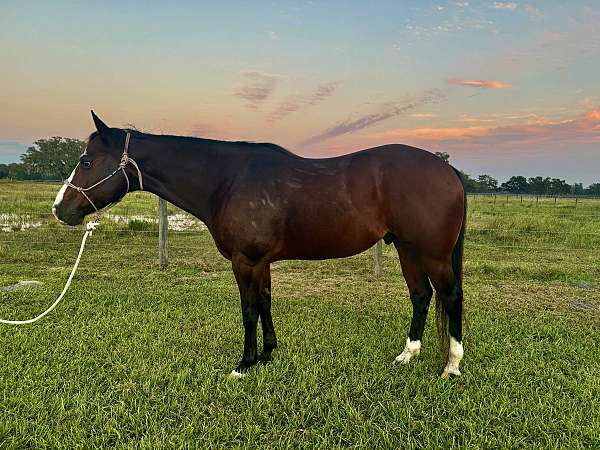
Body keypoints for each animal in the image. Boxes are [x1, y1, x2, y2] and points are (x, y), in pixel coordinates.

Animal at [52, 110, 464, 378]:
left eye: (86, 162)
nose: (60, 209)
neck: (227, 180)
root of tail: (448, 170)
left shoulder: (245, 260)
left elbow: (248, 309)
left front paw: (244, 364)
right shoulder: (261, 261)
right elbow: (265, 302)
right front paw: (267, 354)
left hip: (433, 255)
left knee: (450, 297)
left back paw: (451, 366)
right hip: (407, 250)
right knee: (421, 296)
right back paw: (407, 356)